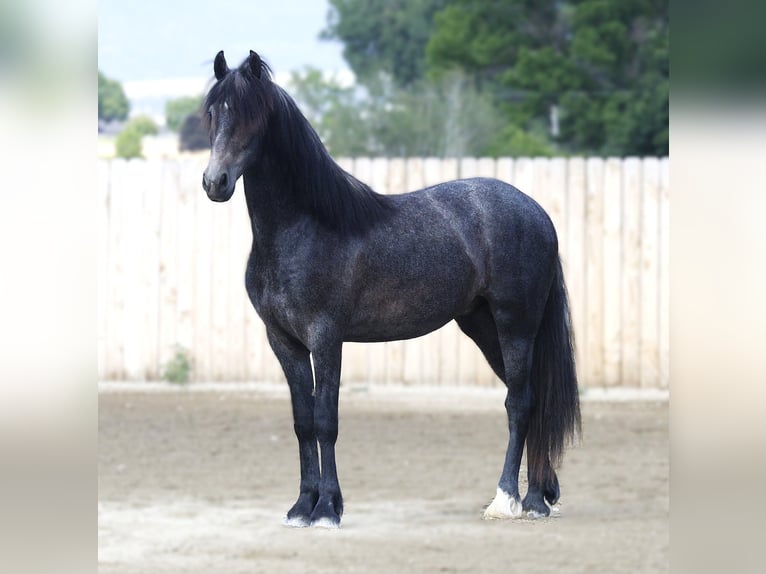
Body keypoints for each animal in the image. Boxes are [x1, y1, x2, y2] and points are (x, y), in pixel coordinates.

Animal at [201, 50, 581, 528]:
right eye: (212, 113)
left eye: (251, 116)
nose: (215, 182)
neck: (303, 227)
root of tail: (538, 213)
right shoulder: (283, 341)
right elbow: (303, 422)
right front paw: (302, 507)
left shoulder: (327, 338)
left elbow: (326, 419)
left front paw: (327, 509)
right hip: (484, 327)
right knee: (532, 398)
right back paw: (538, 498)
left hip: (517, 325)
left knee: (520, 403)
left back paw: (509, 499)